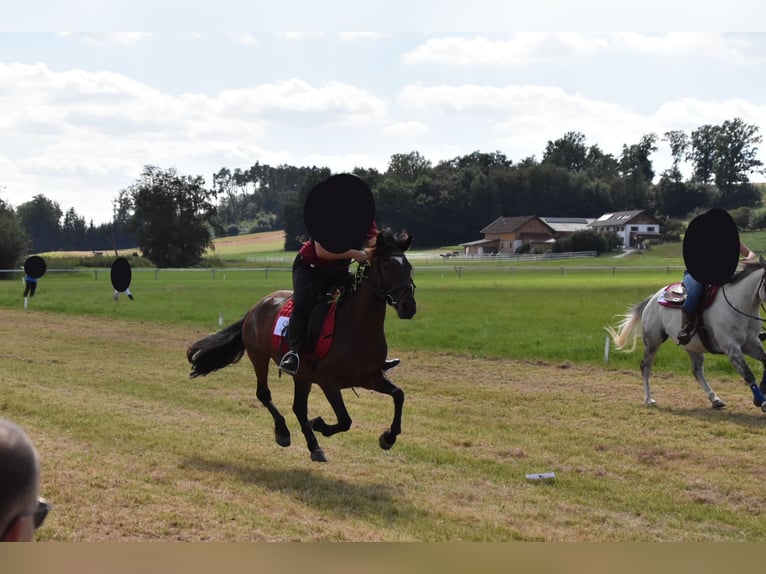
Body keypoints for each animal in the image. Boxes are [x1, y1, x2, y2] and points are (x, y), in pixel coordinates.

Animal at [186, 228, 417, 462]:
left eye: (409, 267)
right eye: (387, 266)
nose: (409, 307)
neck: (358, 328)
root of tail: (256, 307)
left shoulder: (370, 377)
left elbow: (399, 395)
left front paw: (388, 437)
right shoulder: (328, 382)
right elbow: (345, 420)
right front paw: (320, 424)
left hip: (302, 376)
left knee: (298, 408)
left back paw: (314, 447)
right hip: (259, 356)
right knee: (264, 394)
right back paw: (283, 432)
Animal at [605, 258, 766, 412]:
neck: (738, 303)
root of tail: (653, 298)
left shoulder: (751, 343)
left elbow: (764, 361)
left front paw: (762, 390)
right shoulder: (731, 348)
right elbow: (748, 375)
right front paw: (761, 401)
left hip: (692, 346)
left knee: (697, 371)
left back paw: (715, 399)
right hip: (653, 342)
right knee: (646, 366)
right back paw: (649, 399)